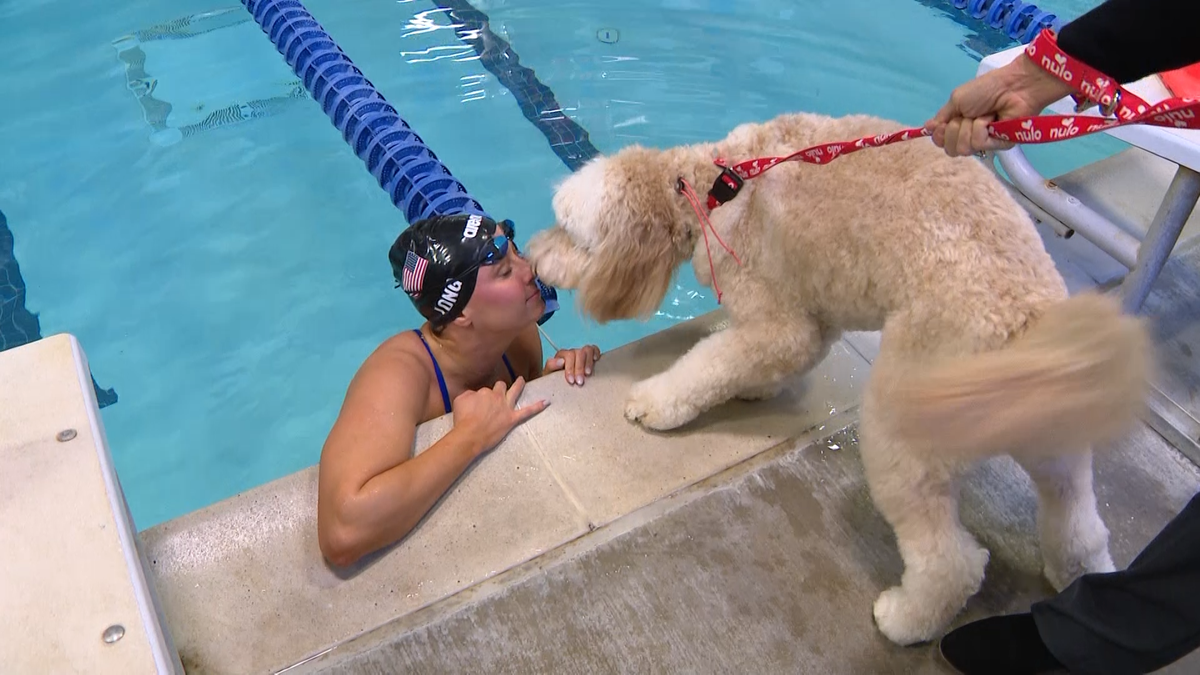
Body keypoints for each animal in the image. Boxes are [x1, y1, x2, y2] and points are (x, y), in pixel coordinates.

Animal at [528, 111, 1152, 648]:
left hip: (903, 437)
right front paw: (755, 388)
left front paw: (656, 403)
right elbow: (766, 360)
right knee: (1081, 531)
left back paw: (906, 619)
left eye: (571, 233)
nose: (532, 257)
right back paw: (1078, 580)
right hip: (1058, 452)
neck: (712, 188)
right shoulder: (811, 312)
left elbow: (713, 363)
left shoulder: (780, 320)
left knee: (952, 562)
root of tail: (1028, 321)